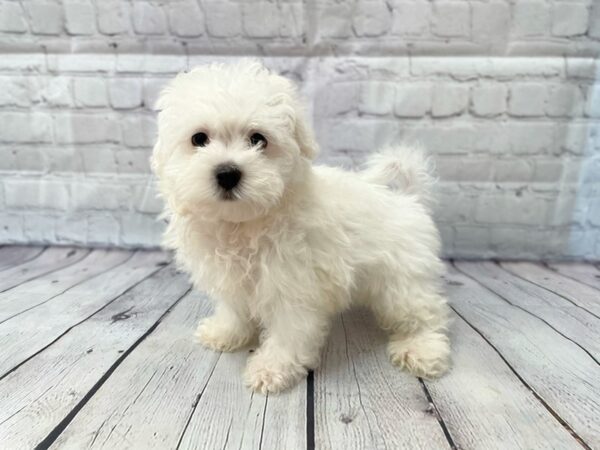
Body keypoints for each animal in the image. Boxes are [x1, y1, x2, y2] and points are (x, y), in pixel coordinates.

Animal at [150, 59, 450, 394]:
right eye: (199, 139)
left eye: (258, 139)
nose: (227, 173)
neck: (243, 223)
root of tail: (408, 198)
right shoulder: (232, 280)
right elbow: (234, 309)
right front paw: (226, 333)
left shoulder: (293, 286)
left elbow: (288, 332)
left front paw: (271, 368)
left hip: (402, 280)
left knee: (424, 313)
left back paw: (422, 349)